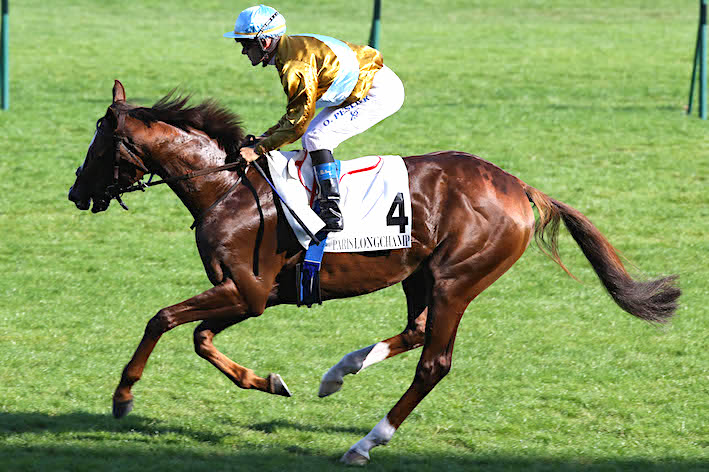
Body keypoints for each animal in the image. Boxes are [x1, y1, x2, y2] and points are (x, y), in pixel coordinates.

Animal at [68, 80, 680, 465]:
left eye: (98, 142)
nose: (75, 193)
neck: (227, 187)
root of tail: (519, 187)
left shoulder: (248, 290)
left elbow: (164, 319)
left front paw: (123, 396)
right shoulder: (250, 293)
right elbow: (199, 337)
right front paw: (270, 381)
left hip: (458, 279)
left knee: (434, 362)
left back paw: (366, 442)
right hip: (419, 273)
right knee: (415, 329)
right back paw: (340, 372)